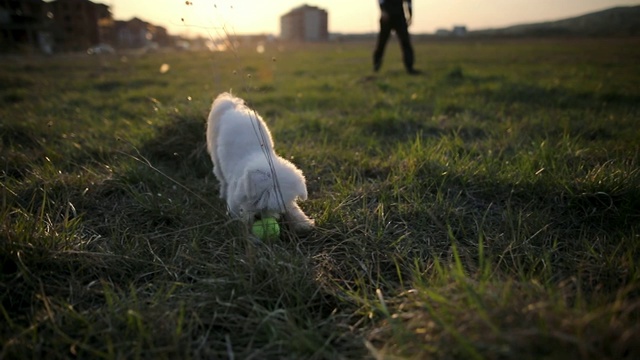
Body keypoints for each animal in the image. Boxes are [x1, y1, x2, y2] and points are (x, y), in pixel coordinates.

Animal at [205, 93, 316, 232]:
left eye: (273, 208)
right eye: (255, 200)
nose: (258, 216)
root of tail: (232, 105)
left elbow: (293, 207)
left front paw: (303, 222)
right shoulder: (235, 198)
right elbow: (237, 215)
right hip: (217, 160)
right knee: (222, 179)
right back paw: (222, 193)